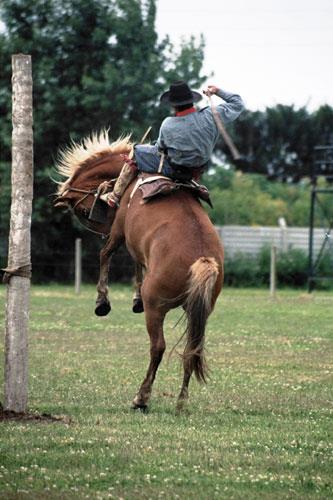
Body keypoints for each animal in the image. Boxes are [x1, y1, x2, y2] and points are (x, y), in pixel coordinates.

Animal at [53, 131, 223, 412]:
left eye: (83, 210)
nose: (99, 227)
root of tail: (203, 260)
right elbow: (136, 263)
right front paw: (134, 299)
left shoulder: (119, 230)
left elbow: (106, 254)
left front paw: (102, 302)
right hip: (199, 311)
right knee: (192, 348)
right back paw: (181, 401)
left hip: (157, 307)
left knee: (158, 347)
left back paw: (141, 398)